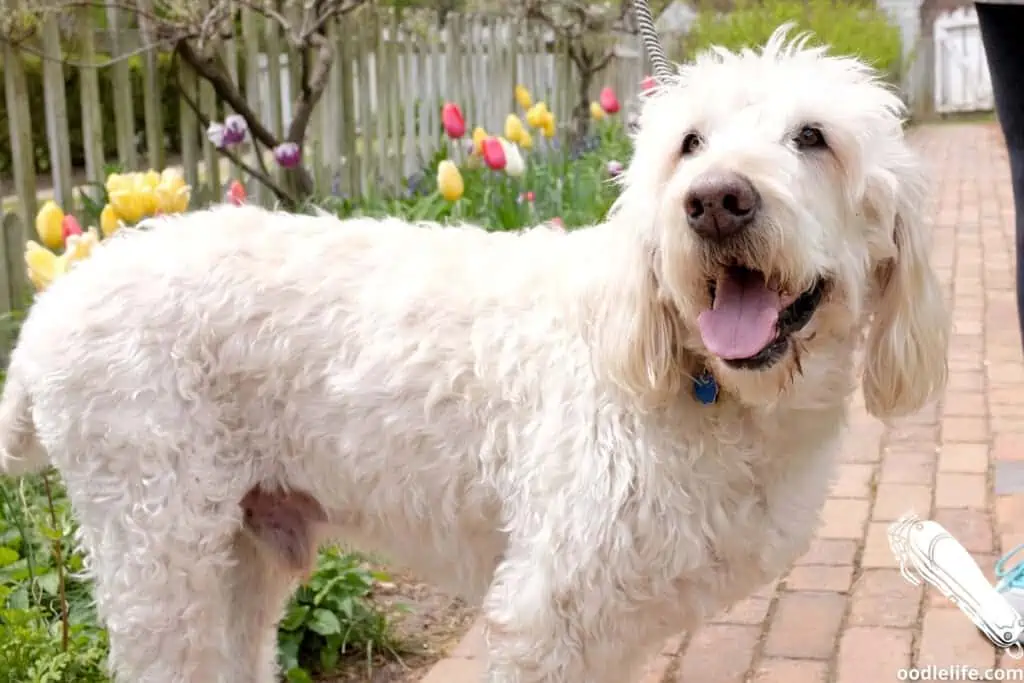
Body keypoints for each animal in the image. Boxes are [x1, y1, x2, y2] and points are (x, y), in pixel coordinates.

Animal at [0, 29, 946, 683]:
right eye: (691, 144)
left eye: (813, 138)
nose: (714, 202)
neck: (699, 384)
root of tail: (52, 303)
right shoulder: (545, 614)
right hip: (159, 551)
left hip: (238, 556)